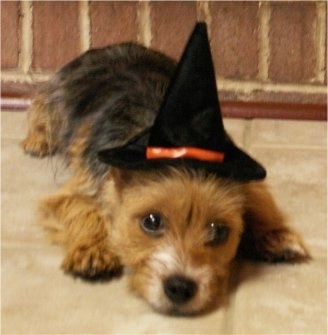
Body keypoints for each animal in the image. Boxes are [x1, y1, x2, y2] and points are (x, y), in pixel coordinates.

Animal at [21, 23, 310, 316]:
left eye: (219, 231)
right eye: (151, 221)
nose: (180, 288)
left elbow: (261, 199)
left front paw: (275, 235)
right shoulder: (77, 190)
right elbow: (84, 210)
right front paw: (93, 249)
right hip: (56, 99)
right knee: (39, 112)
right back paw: (37, 140)